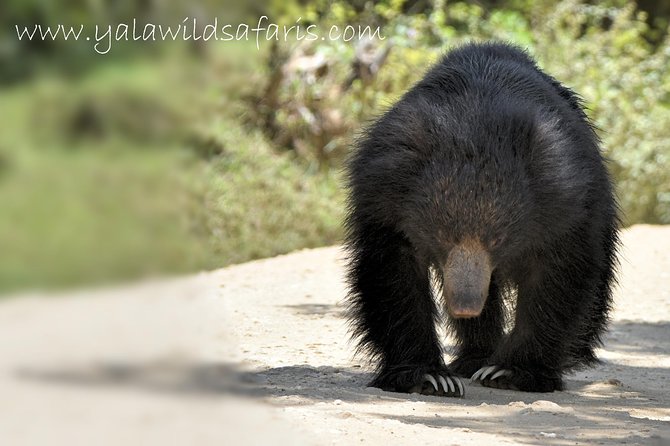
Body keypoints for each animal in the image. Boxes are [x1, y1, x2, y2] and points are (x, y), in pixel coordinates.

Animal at [344, 42, 619, 397]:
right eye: (443, 235)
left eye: (497, 238)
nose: (465, 304)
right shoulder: (383, 200)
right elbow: (393, 275)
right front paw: (429, 378)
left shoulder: (566, 205)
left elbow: (557, 277)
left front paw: (510, 373)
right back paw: (473, 357)